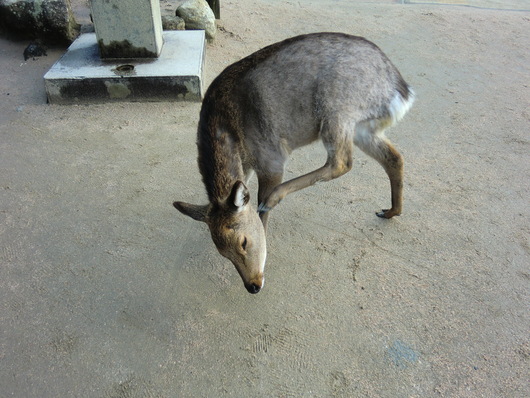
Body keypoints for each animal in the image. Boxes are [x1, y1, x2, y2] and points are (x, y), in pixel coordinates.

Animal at [173, 32, 412, 294]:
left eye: (243, 241)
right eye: (223, 253)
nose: (253, 285)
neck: (228, 128)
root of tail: (400, 88)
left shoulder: (270, 158)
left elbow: (259, 206)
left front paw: (265, 216)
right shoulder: (246, 167)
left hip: (337, 111)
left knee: (342, 161)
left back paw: (274, 198)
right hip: (363, 126)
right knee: (394, 156)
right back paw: (390, 211)